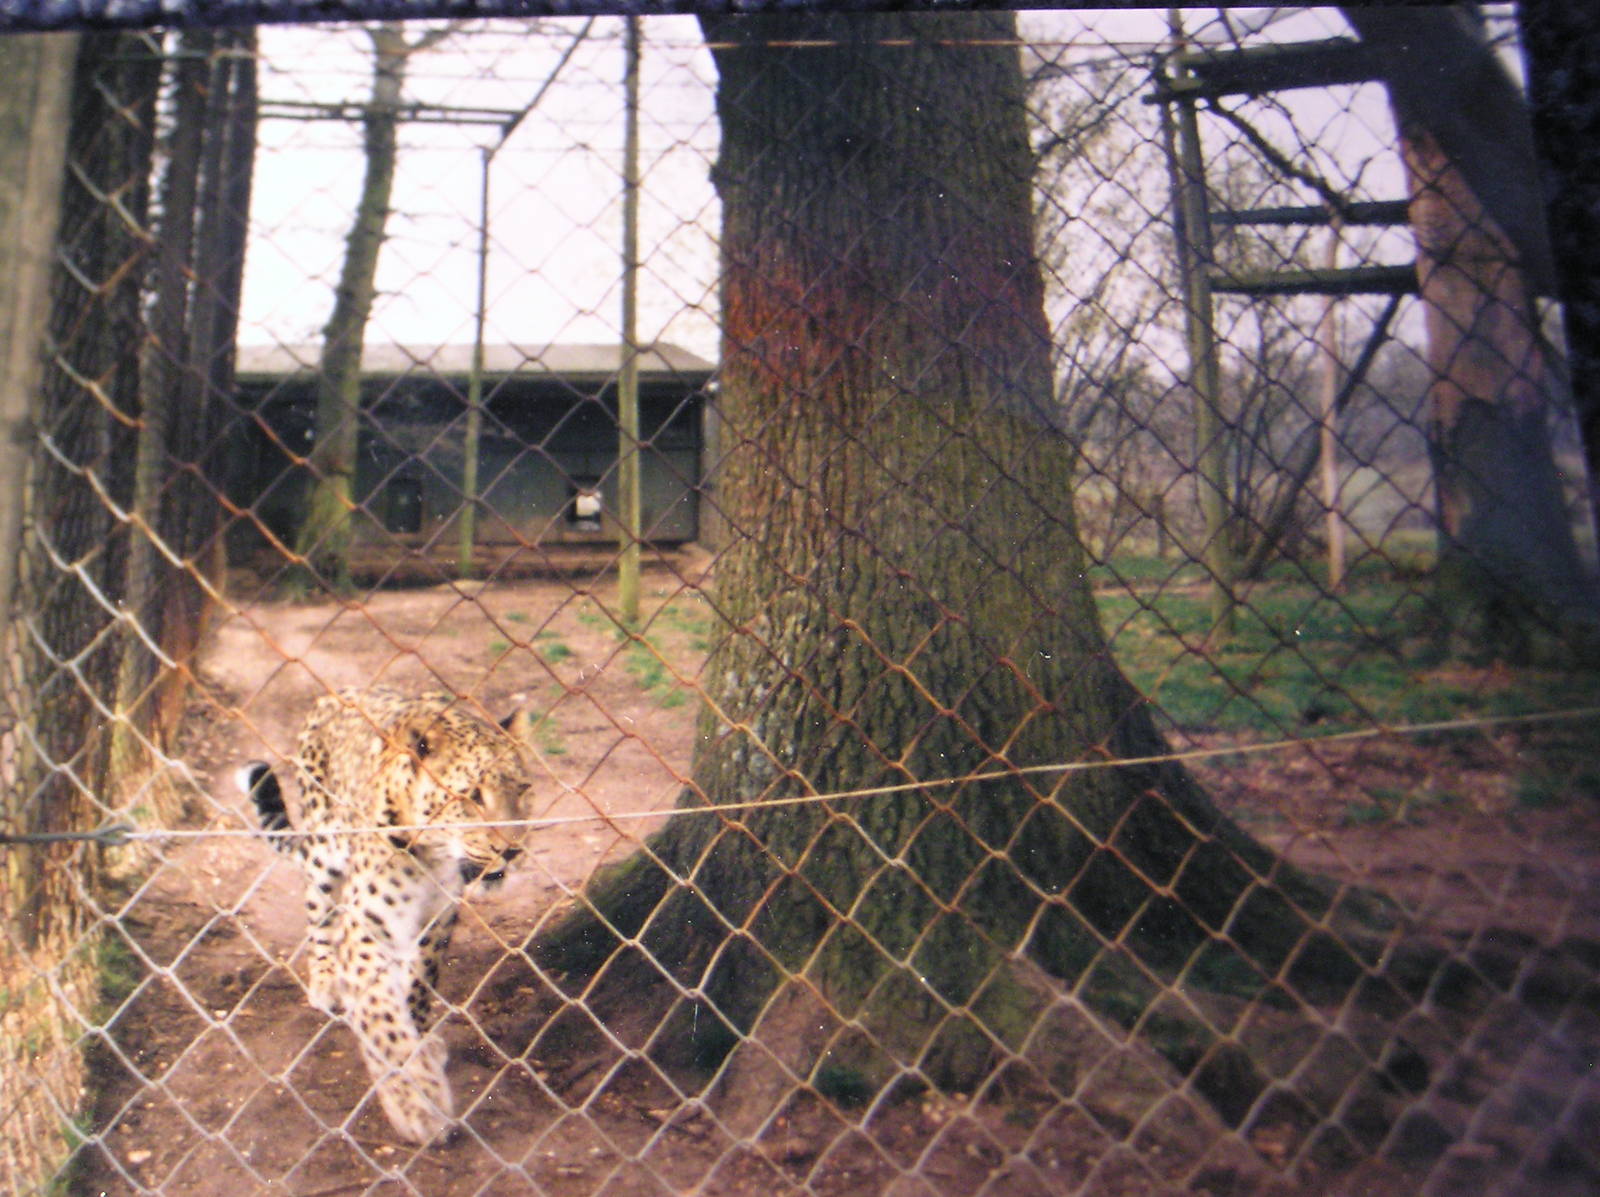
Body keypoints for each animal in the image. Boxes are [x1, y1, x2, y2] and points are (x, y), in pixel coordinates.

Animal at [237, 686, 534, 1145]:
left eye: (522, 790)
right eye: (470, 796)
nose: (513, 850)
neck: (431, 858)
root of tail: (338, 693)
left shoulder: (437, 919)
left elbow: (419, 985)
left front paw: (422, 1038)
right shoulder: (369, 927)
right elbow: (383, 1018)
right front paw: (420, 1104)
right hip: (323, 851)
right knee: (317, 912)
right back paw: (325, 981)